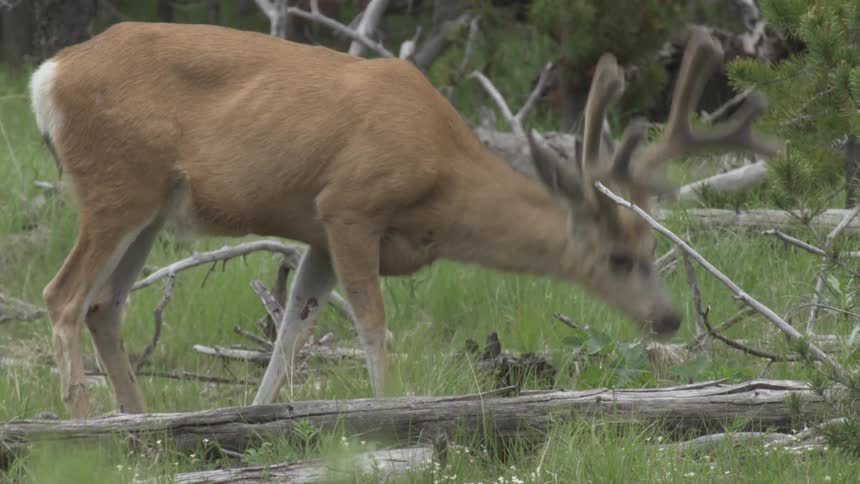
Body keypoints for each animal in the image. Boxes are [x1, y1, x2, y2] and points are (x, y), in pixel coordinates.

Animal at [29, 21, 781, 419]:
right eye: (621, 257)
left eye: (654, 244)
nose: (668, 318)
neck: (441, 187)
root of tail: (46, 74)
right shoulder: (350, 206)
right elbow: (372, 325)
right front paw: (389, 412)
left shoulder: (318, 232)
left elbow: (293, 327)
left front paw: (262, 414)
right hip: (117, 183)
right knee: (60, 296)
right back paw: (84, 421)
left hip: (154, 205)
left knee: (103, 305)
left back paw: (138, 419)